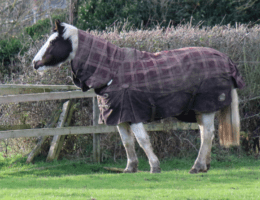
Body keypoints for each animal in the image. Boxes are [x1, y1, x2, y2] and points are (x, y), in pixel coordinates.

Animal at [32, 19, 246, 173]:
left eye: (52, 42)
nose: (34, 63)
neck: (111, 70)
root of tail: (227, 60)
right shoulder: (119, 116)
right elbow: (127, 142)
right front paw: (130, 168)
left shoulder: (132, 113)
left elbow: (143, 140)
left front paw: (154, 166)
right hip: (200, 109)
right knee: (205, 134)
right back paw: (204, 166)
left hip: (206, 107)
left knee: (207, 134)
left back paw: (197, 166)